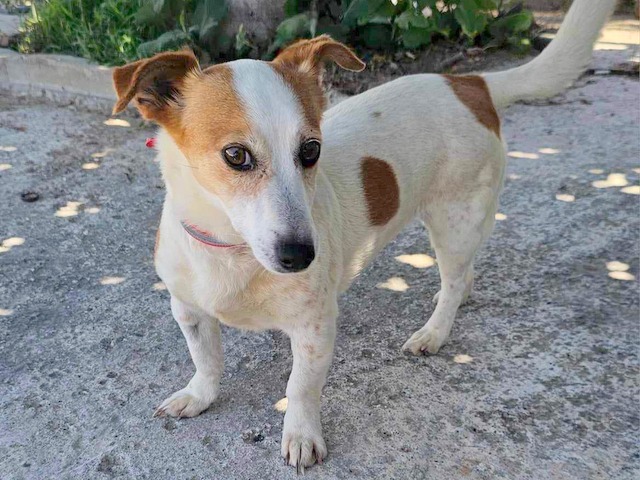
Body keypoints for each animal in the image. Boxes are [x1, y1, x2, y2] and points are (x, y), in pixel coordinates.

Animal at [111, 0, 615, 471]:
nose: (302, 256)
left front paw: (301, 435)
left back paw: (435, 331)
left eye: (311, 150)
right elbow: (206, 360)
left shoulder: (314, 327)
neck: (233, 250)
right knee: (463, 275)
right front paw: (199, 395)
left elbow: (300, 387)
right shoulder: (189, 309)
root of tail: (471, 83)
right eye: (236, 155)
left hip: (455, 220)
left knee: (454, 280)